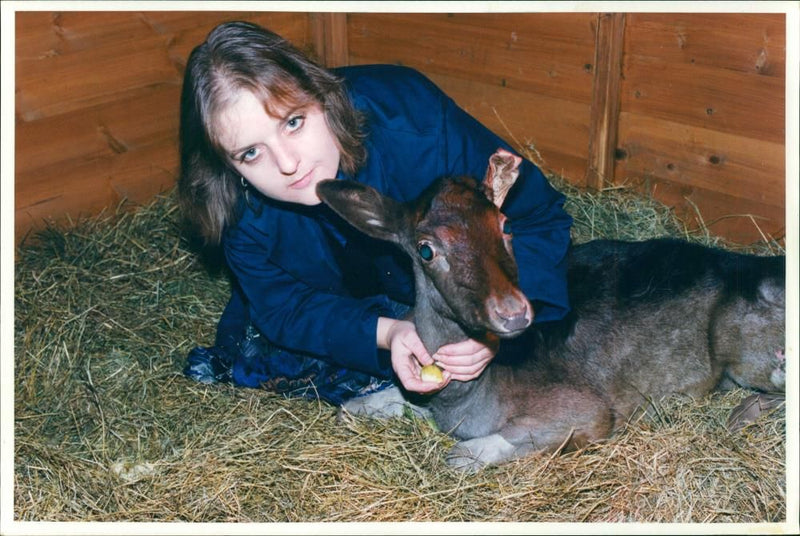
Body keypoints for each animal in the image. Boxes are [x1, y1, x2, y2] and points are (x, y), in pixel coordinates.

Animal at [316, 149, 784, 472]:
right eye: (426, 249)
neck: (465, 398)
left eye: (505, 225)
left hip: (745, 343)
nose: (512, 312)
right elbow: (384, 396)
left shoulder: (586, 409)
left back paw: (743, 414)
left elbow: (469, 451)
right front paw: (354, 408)